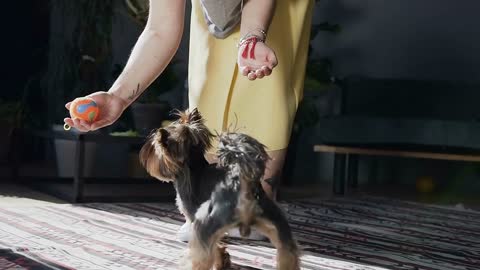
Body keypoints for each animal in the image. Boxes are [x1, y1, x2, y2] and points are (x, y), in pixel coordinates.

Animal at [139, 108, 302, 270]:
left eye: (152, 149)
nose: (144, 156)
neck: (192, 166)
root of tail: (242, 187)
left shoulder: (193, 216)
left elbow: (213, 248)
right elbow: (218, 246)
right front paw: (223, 262)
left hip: (207, 220)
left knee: (202, 254)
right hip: (274, 220)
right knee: (288, 251)